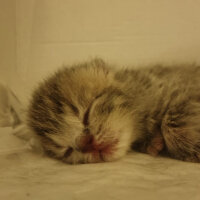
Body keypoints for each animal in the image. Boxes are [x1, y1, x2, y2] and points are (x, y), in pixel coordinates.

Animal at [27, 58, 200, 163]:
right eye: (68, 150)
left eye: (86, 114)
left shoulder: (184, 88)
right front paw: (151, 143)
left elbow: (171, 124)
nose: (86, 144)